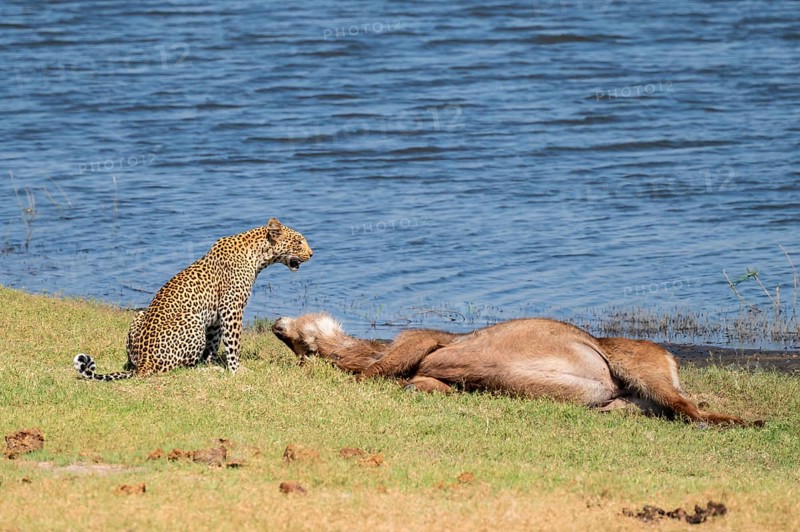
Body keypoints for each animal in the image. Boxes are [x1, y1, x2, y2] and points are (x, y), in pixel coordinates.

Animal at [73, 218, 312, 381]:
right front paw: (236, 370)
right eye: (299, 242)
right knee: (178, 367)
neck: (259, 255)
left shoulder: (217, 316)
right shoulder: (232, 309)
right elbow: (233, 343)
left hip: (139, 314)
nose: (312, 253)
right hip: (193, 322)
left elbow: (214, 342)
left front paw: (211, 362)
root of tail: (144, 363)